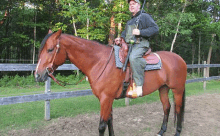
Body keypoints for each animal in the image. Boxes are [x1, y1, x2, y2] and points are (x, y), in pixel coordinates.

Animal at [35, 29, 186, 136]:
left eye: (50, 49)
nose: (38, 75)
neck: (99, 62)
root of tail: (180, 59)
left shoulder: (106, 99)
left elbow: (102, 125)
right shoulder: (108, 99)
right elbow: (109, 121)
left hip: (177, 90)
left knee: (178, 109)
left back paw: (177, 132)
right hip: (163, 88)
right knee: (167, 107)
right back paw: (161, 131)